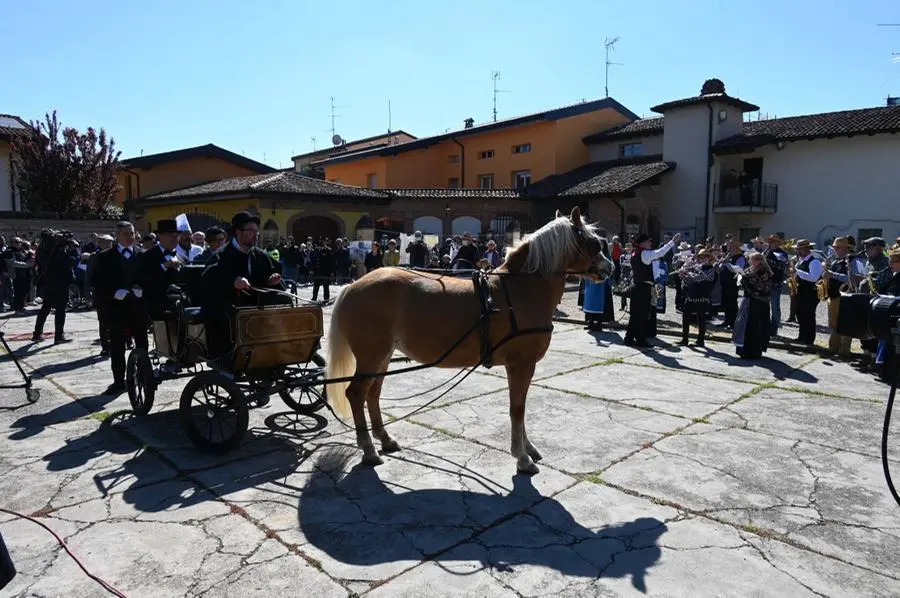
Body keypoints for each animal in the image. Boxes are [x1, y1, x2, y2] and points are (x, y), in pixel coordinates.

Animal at [326, 209, 616, 476]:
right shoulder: (521, 364)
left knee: (372, 394)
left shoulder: (519, 365)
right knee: (356, 394)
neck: (521, 289)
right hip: (372, 356)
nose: (610, 268)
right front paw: (522, 457)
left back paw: (384, 440)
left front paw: (527, 448)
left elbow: (520, 407)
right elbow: (517, 408)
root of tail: (351, 287)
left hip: (383, 357)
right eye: (592, 243)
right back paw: (368, 450)